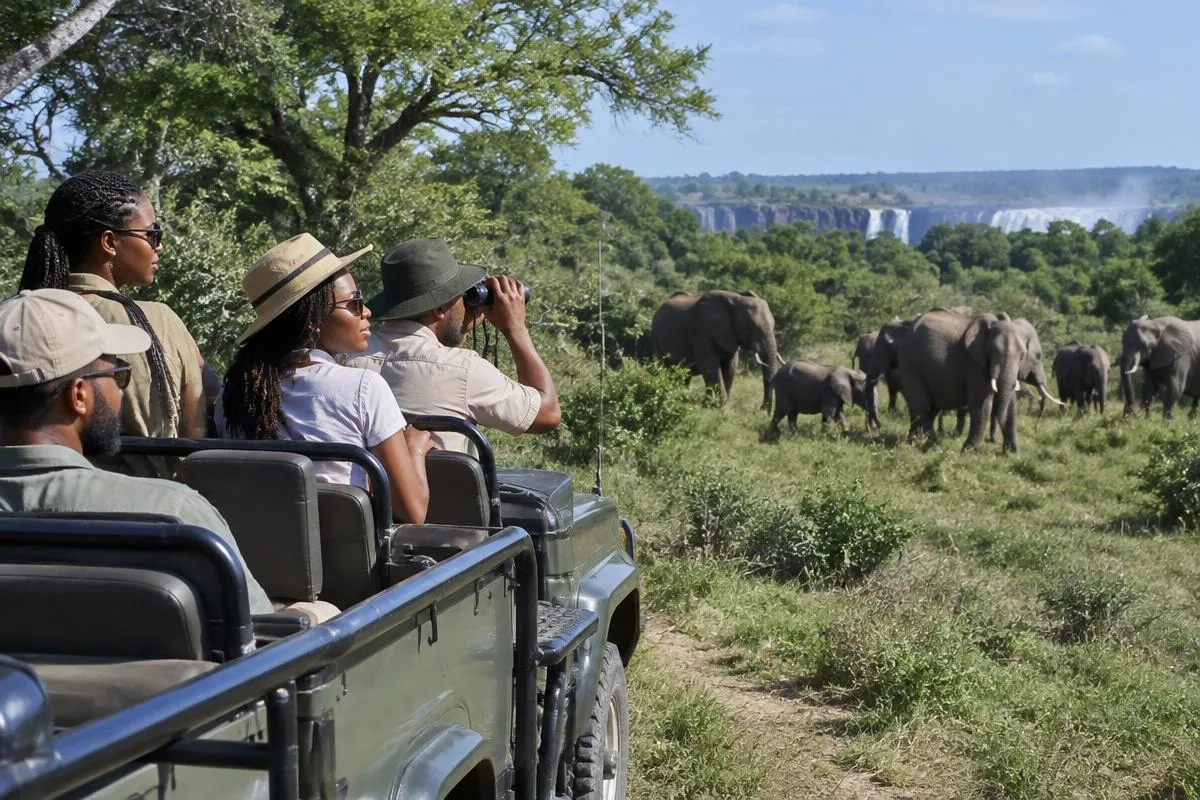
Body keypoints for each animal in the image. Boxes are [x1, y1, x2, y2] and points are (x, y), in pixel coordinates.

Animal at [651, 290, 782, 410]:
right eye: (751, 327)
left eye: (774, 325)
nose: (762, 408)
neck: (736, 300)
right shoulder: (703, 333)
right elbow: (711, 366)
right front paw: (716, 406)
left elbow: (731, 367)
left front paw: (714, 405)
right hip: (656, 338)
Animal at [897, 309, 1062, 454]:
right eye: (992, 352)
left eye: (1023, 356)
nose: (994, 442)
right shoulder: (975, 364)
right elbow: (982, 404)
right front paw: (970, 452)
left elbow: (1011, 405)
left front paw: (1013, 454)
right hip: (911, 365)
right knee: (922, 407)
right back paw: (926, 444)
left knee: (930, 410)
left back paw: (919, 443)